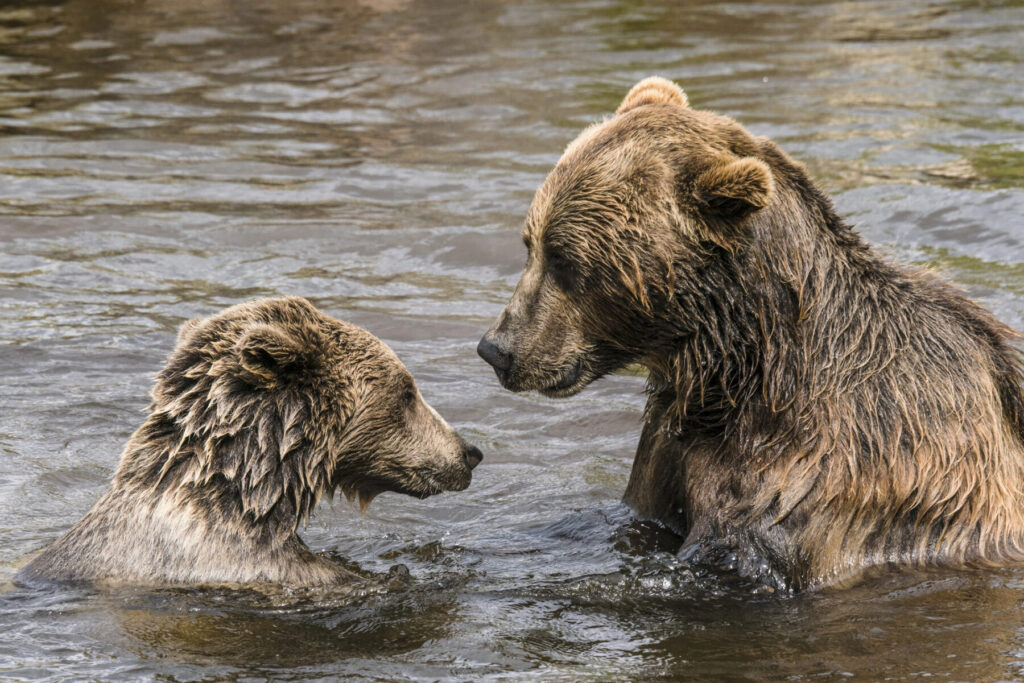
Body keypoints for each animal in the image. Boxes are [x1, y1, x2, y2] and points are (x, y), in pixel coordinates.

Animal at [477, 76, 1024, 593]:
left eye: (566, 260)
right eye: (530, 244)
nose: (496, 349)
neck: (738, 372)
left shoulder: (815, 478)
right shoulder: (667, 457)